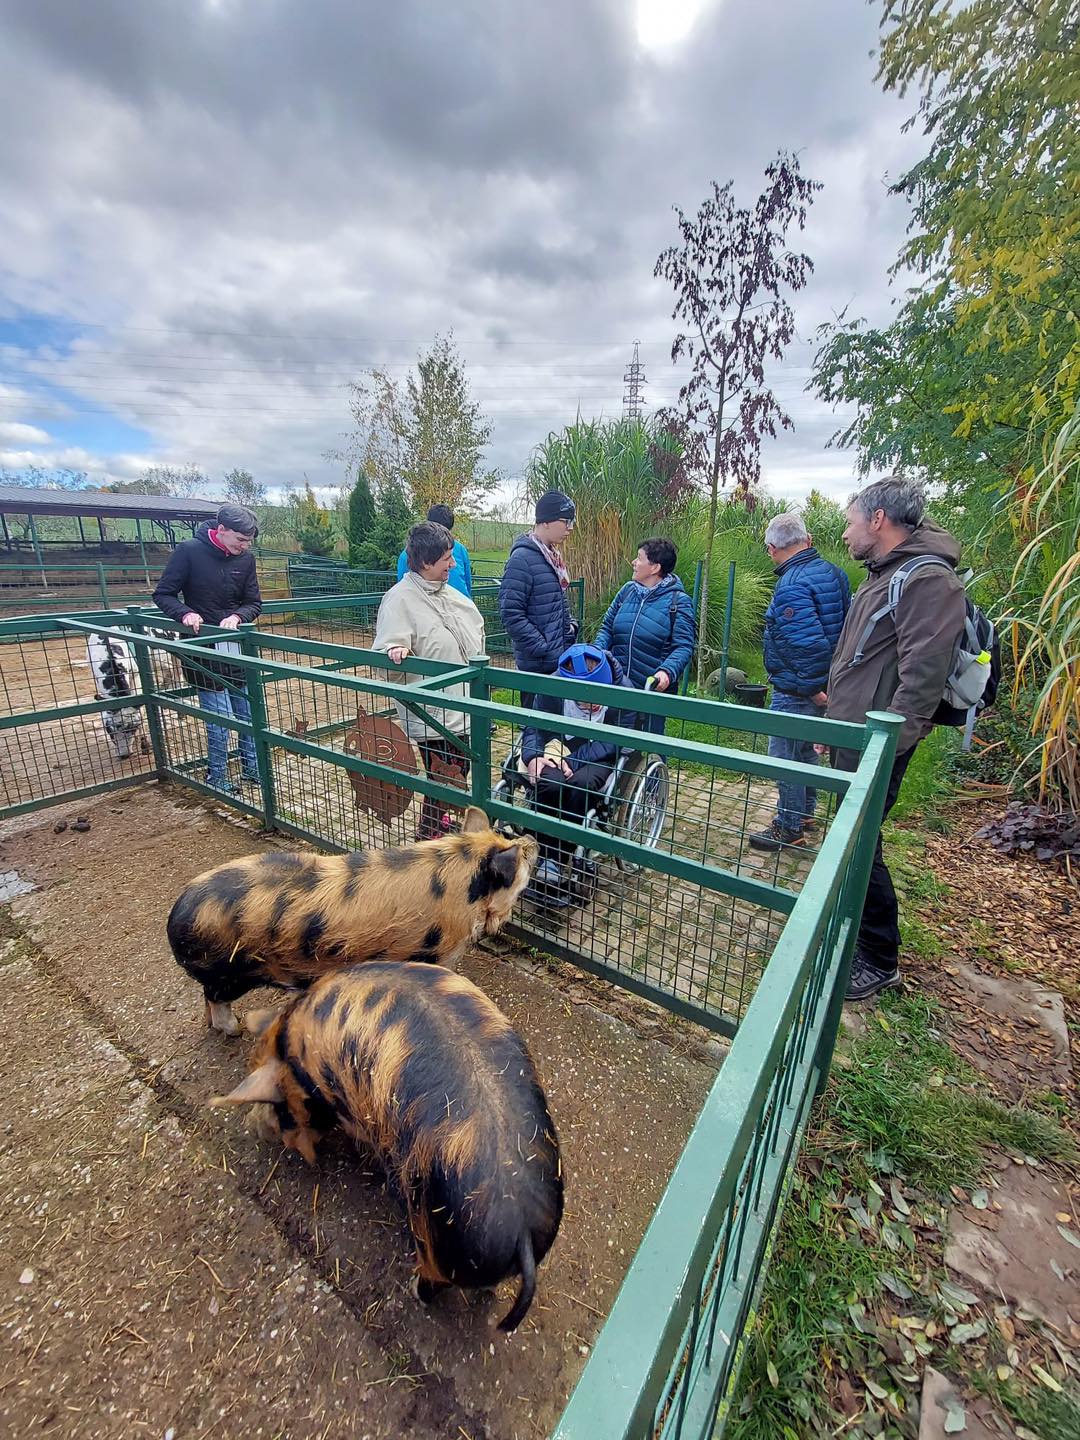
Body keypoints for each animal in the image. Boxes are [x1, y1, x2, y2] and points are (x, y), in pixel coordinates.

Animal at [167, 806, 537, 1036]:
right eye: (522, 861)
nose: (531, 841)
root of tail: (178, 909)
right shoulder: (442, 950)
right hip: (228, 971)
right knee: (216, 997)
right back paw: (235, 1030)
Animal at [210, 960, 563, 1331]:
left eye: (278, 1108)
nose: (256, 1129)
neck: (292, 1050)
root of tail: (522, 1230)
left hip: (433, 1239)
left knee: (433, 1282)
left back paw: (412, 1289)